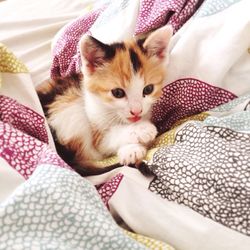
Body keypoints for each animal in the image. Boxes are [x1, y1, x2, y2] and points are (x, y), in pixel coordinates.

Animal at [37, 25, 173, 176]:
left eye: (148, 89)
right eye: (118, 93)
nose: (136, 111)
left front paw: (133, 148)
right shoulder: (95, 131)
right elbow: (108, 138)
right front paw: (138, 136)